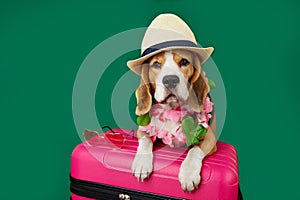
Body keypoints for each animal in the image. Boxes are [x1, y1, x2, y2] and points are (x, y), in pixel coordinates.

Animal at [131, 49, 216, 191]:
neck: (172, 109)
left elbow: (194, 150)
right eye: (156, 64)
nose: (170, 80)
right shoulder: (143, 129)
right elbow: (145, 140)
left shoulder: (210, 138)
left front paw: (188, 174)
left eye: (184, 61)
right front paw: (142, 163)